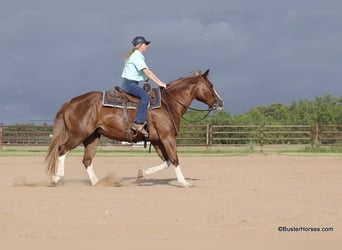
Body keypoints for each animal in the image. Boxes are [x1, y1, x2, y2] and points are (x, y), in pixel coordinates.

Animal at [44, 69, 223, 187]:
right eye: (211, 85)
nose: (220, 103)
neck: (168, 104)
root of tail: (70, 102)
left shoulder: (156, 140)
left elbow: (166, 161)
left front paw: (142, 173)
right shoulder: (167, 138)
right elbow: (174, 159)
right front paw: (184, 182)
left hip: (92, 137)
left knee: (87, 160)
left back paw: (97, 182)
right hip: (78, 134)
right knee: (61, 150)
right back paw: (56, 178)